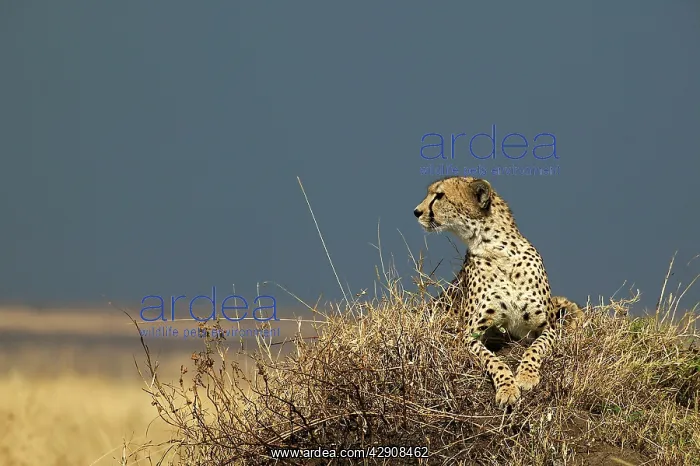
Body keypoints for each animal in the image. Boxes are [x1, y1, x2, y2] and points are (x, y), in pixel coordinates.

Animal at [413, 176, 583, 407]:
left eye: (439, 195)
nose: (416, 211)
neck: (498, 250)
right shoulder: (470, 335)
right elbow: (494, 361)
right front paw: (507, 389)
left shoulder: (548, 328)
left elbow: (534, 348)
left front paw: (526, 376)